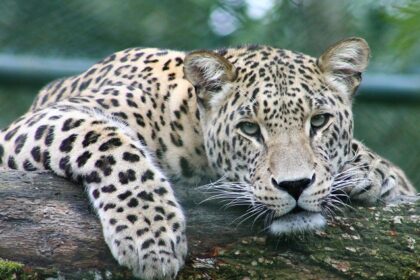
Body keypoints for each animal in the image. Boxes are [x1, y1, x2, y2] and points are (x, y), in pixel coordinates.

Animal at [0, 36, 416, 278]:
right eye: (249, 129)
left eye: (319, 121)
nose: (296, 185)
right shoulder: (36, 124)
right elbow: (108, 142)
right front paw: (151, 235)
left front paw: (376, 173)